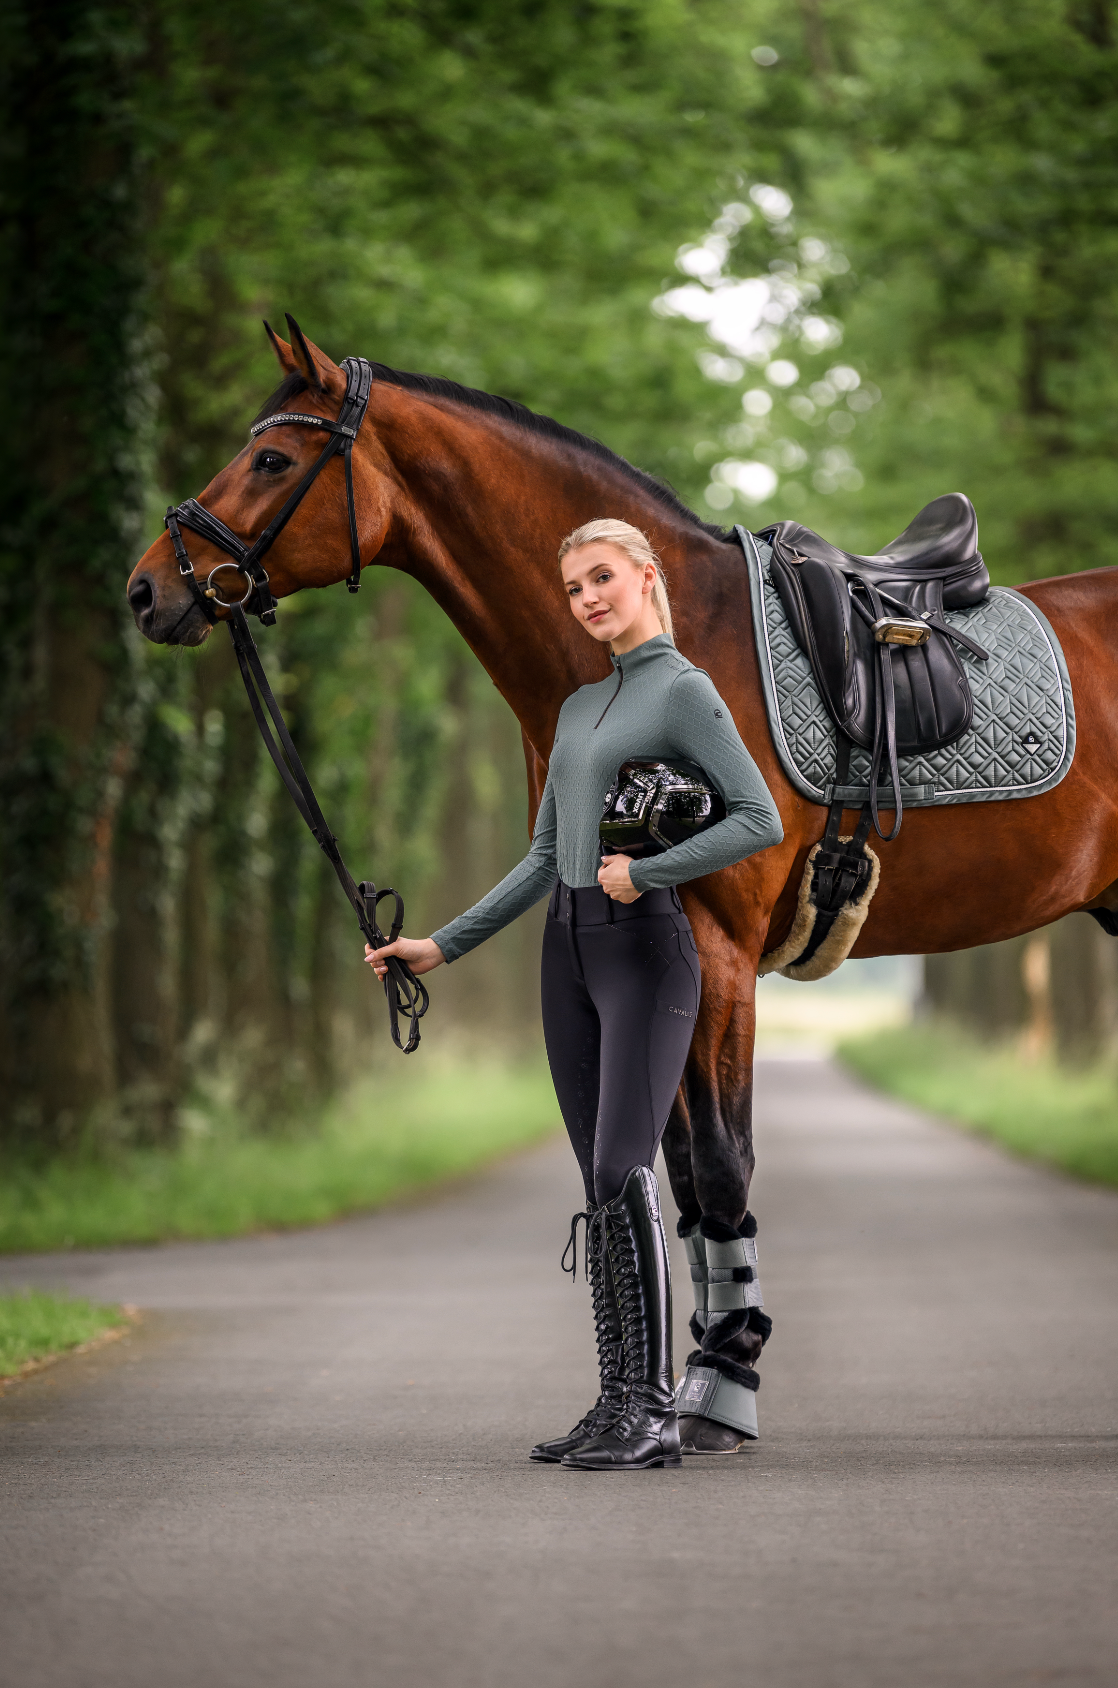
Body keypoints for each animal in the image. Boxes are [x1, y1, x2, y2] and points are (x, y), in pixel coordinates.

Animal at [127, 321, 1118, 1436]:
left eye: (270, 458)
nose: (148, 589)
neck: (678, 639)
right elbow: (674, 1170)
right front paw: (692, 1377)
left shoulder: (717, 956)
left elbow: (721, 1164)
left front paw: (723, 1387)